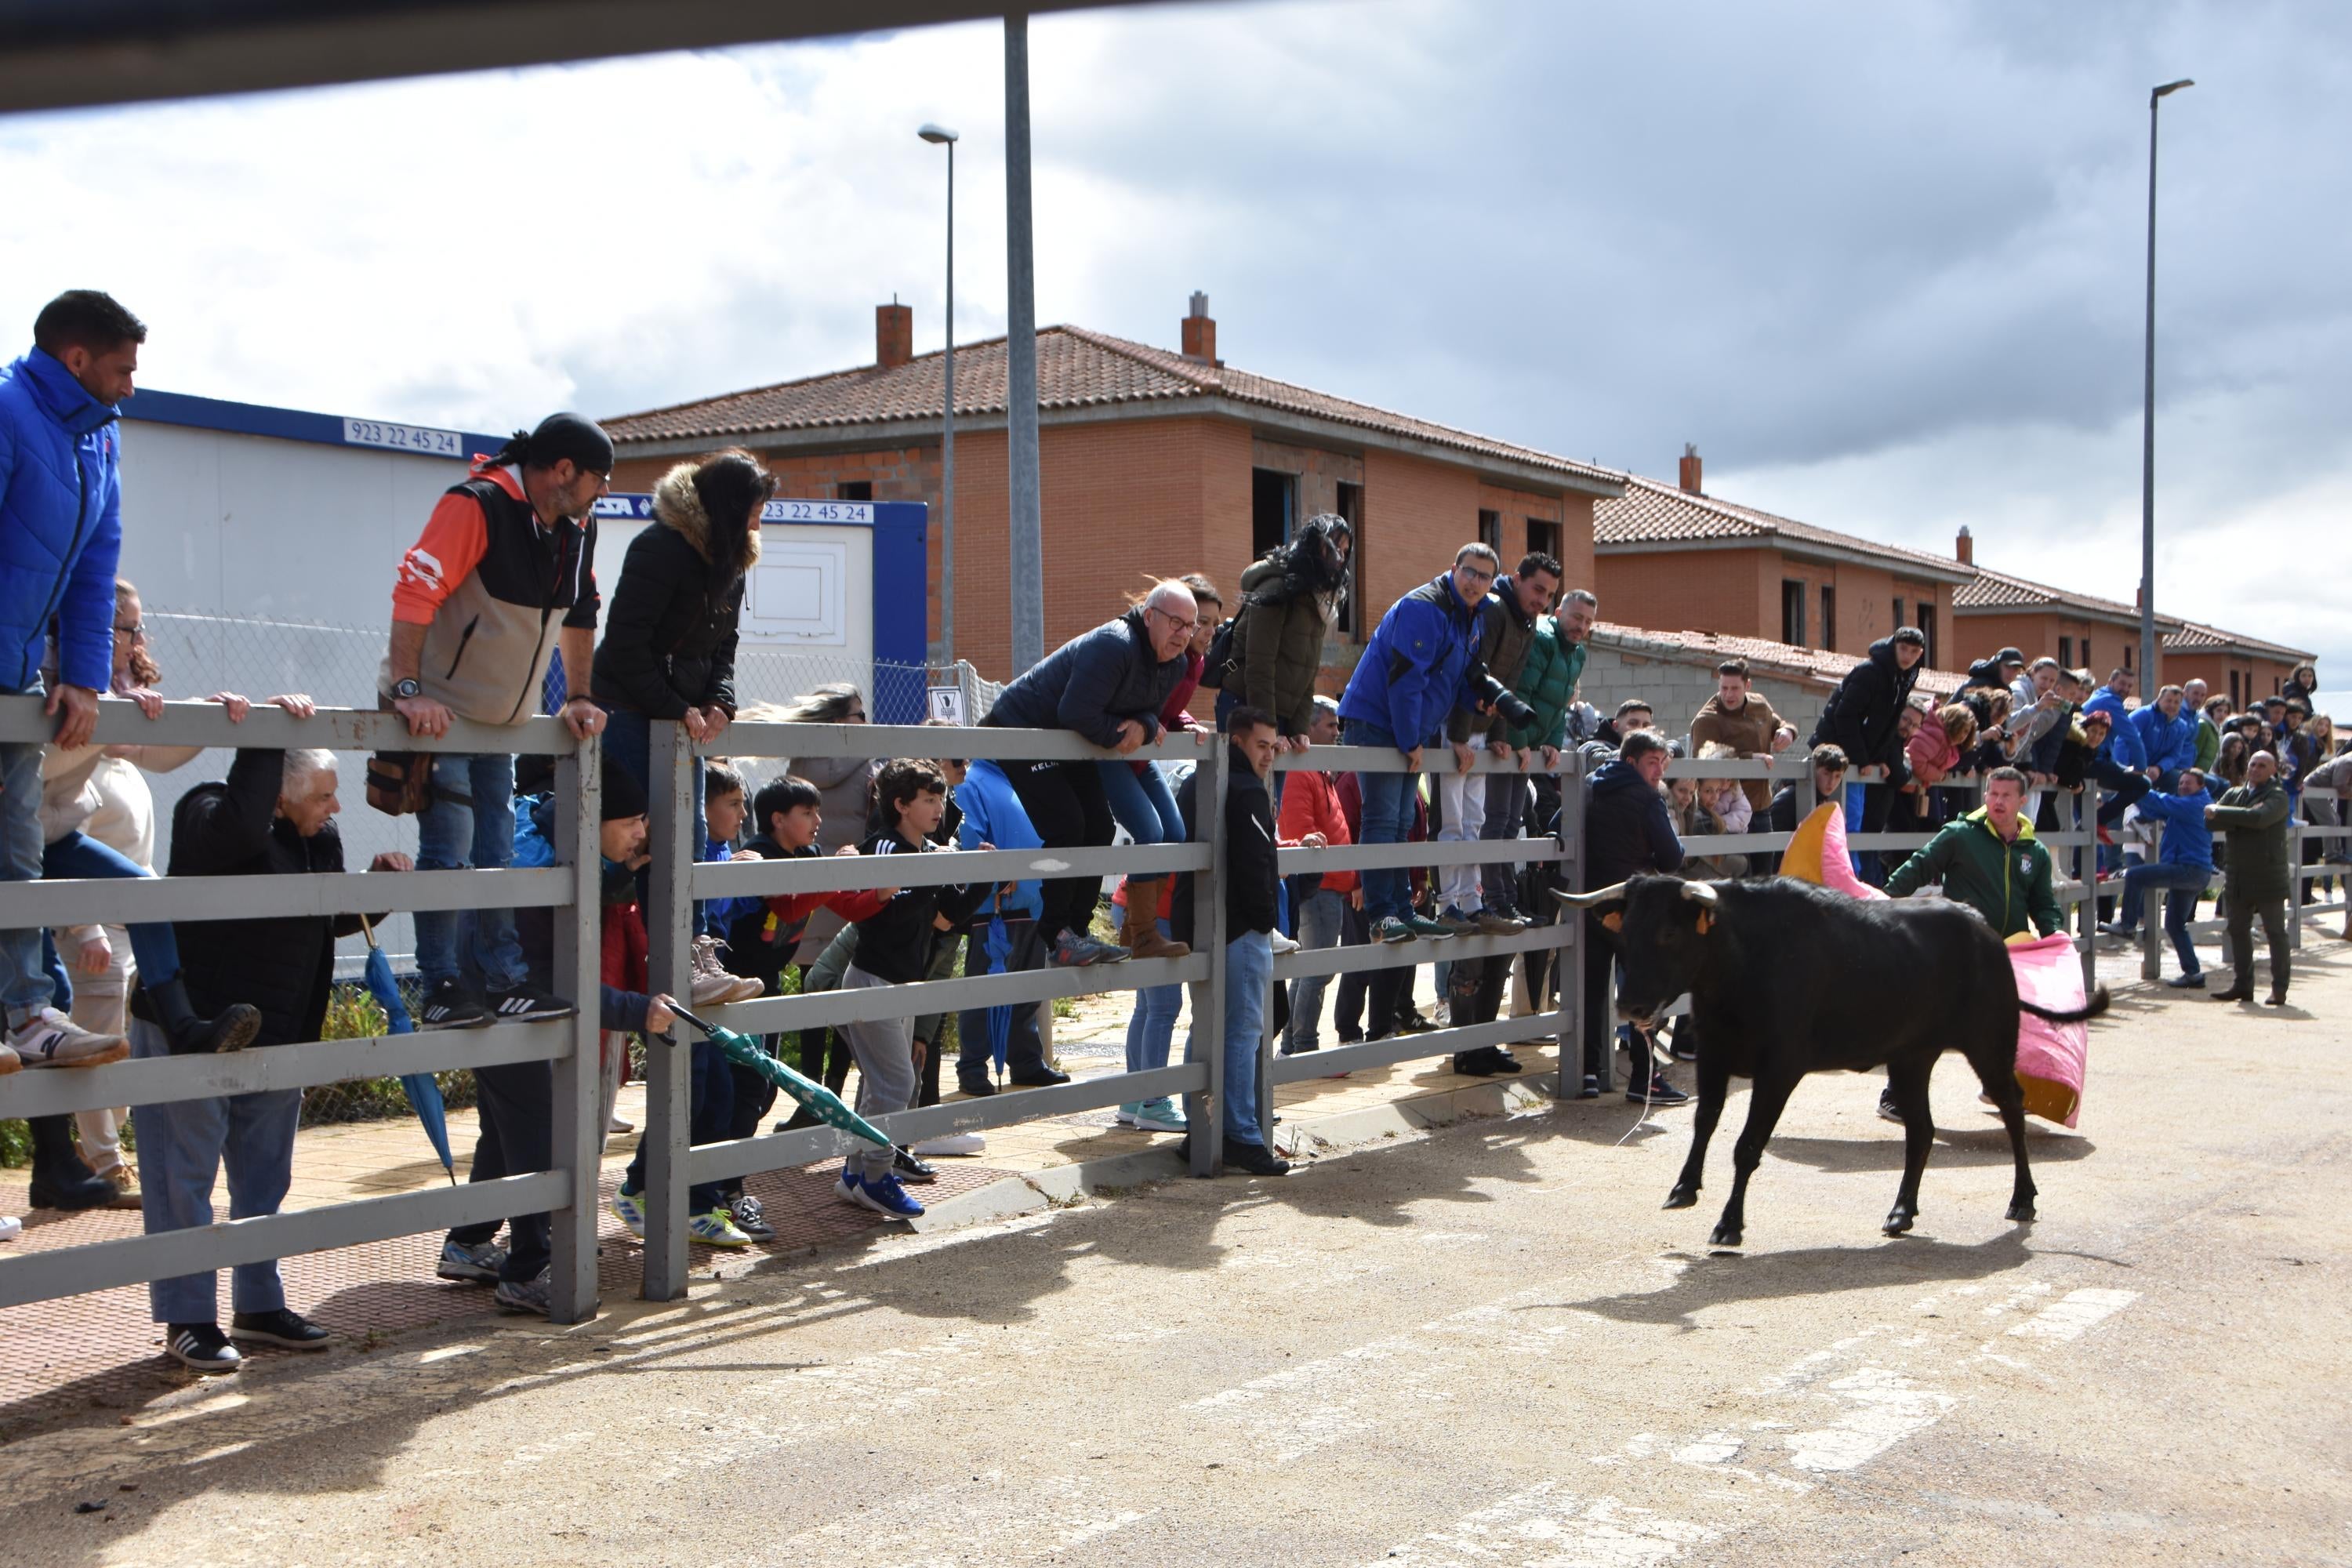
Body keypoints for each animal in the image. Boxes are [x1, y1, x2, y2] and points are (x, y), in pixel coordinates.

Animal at [1571, 869, 2107, 1250]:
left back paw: (2022, 1201)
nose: (1630, 1006)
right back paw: (1901, 1213)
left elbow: (1747, 1146)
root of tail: (1985, 930)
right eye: (1624, 934)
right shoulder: (1715, 1056)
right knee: (1922, 1130)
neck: (1742, 961)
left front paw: (1729, 1225)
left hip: (1989, 1045)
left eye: (1668, 933)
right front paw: (1684, 1188)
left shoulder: (1779, 1070)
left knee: (2012, 1109)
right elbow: (1705, 1123)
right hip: (1911, 1058)